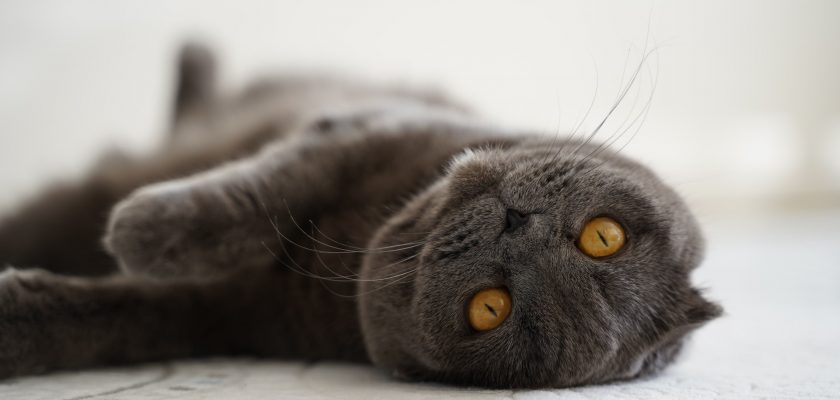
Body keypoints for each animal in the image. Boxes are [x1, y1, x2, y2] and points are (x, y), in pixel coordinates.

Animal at [0, 43, 720, 388]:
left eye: (490, 308)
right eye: (606, 237)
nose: (520, 226)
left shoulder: (228, 315)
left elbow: (109, 320)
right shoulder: (363, 128)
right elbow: (262, 190)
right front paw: (143, 226)